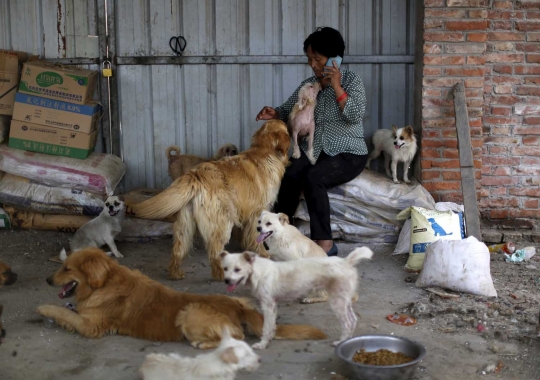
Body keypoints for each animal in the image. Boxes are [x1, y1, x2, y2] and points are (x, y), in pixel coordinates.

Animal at [38, 248, 326, 348]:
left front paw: (43, 308)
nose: (47, 280)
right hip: (240, 300)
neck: (104, 283)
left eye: (67, 269)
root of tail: (235, 306)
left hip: (189, 312)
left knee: (237, 337)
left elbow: (63, 312)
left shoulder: (91, 326)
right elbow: (68, 309)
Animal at [130, 120, 292, 280]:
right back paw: (222, 274)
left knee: (178, 250)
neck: (265, 151)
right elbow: (257, 237)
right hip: (221, 224)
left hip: (185, 225)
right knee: (215, 253)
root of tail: (196, 175)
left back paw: (176, 273)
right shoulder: (258, 211)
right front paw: (262, 253)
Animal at [218, 246, 372, 350]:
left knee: (347, 323)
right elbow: (271, 326)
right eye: (225, 269)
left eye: (237, 269)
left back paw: (340, 342)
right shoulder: (272, 306)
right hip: (344, 300)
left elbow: (266, 327)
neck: (257, 271)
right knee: (353, 320)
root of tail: (346, 261)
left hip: (337, 302)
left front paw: (263, 343)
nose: (226, 280)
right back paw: (347, 340)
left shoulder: (268, 305)